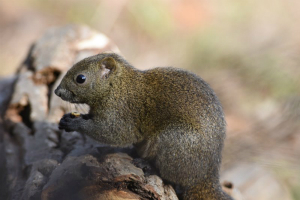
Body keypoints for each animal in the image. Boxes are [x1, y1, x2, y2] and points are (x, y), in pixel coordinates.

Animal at [54, 52, 232, 199]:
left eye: (81, 78)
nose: (57, 92)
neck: (117, 87)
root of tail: (206, 176)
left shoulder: (122, 114)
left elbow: (112, 133)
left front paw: (74, 123)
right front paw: (67, 118)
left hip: (175, 141)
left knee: (170, 176)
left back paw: (148, 165)